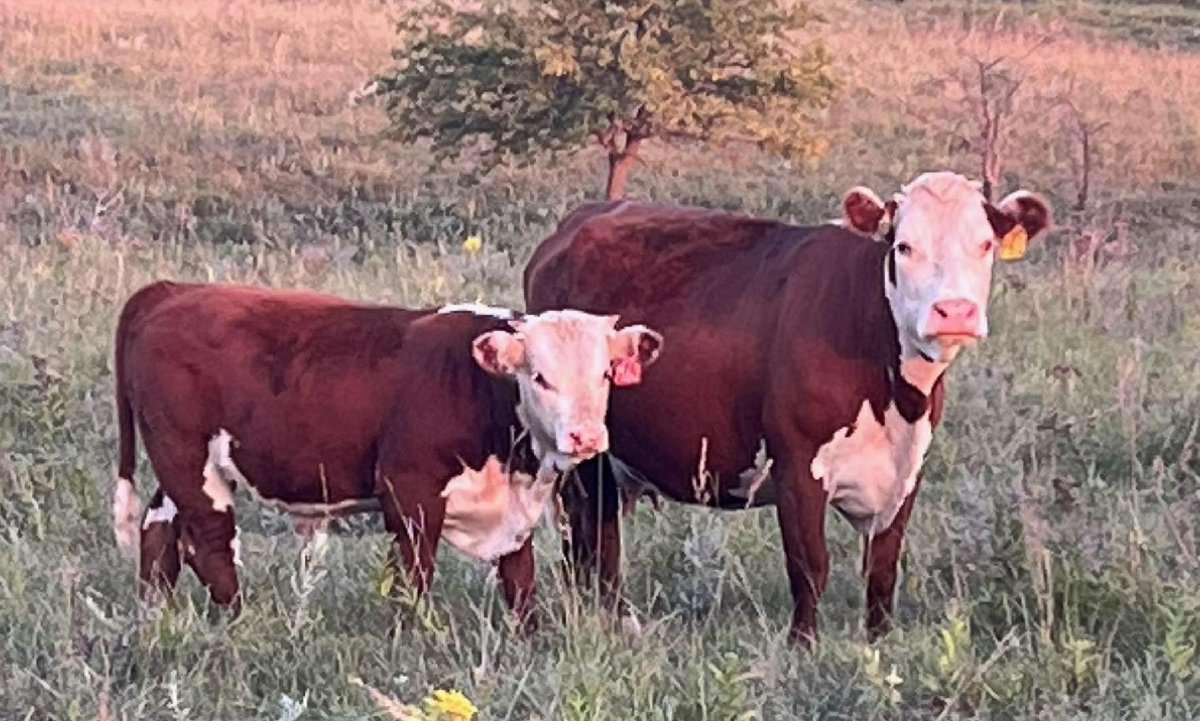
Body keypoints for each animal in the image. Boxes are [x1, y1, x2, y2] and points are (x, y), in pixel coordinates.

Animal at [110, 281, 663, 626]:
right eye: (540, 376)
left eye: (605, 374)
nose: (585, 437)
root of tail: (174, 291)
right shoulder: (409, 491)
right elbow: (413, 576)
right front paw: (411, 638)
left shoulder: (513, 507)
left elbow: (519, 578)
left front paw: (530, 639)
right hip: (187, 459)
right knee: (210, 541)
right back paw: (237, 621)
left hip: (182, 467)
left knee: (160, 529)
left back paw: (155, 616)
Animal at [524, 172, 1050, 644]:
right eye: (904, 247)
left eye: (985, 244)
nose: (954, 311)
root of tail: (583, 217)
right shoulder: (797, 465)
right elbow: (810, 564)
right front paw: (803, 648)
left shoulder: (906, 470)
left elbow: (882, 570)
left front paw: (879, 645)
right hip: (580, 457)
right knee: (590, 536)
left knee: (594, 537)